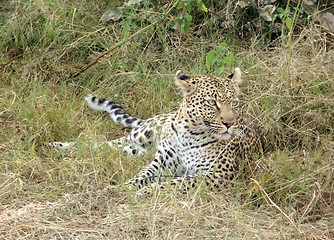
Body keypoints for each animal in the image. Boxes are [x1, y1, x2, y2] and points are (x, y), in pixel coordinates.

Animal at [53, 68, 260, 199]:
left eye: (234, 103)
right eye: (211, 102)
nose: (230, 123)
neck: (190, 135)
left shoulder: (217, 176)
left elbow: (177, 183)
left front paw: (146, 192)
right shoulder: (161, 163)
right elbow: (140, 176)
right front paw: (125, 187)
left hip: (134, 149)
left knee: (108, 148)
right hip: (141, 136)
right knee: (103, 144)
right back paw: (57, 146)